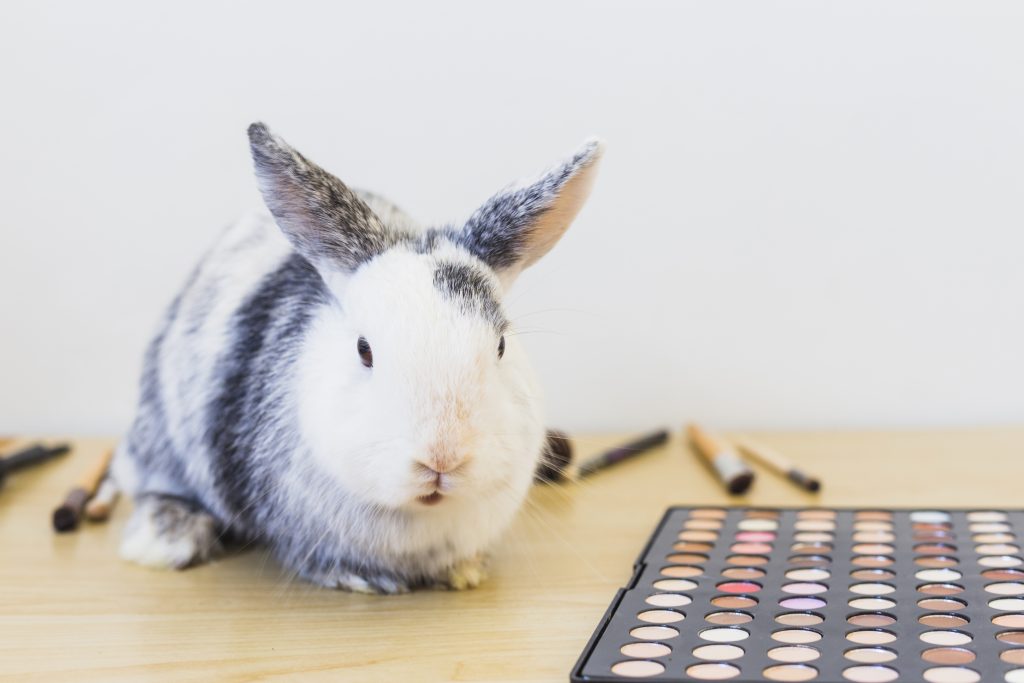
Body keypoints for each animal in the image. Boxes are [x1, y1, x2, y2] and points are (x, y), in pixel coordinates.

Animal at [110, 123, 603, 593]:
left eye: (500, 345)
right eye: (364, 351)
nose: (442, 459)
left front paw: (465, 572)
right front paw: (359, 579)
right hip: (161, 440)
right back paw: (162, 540)